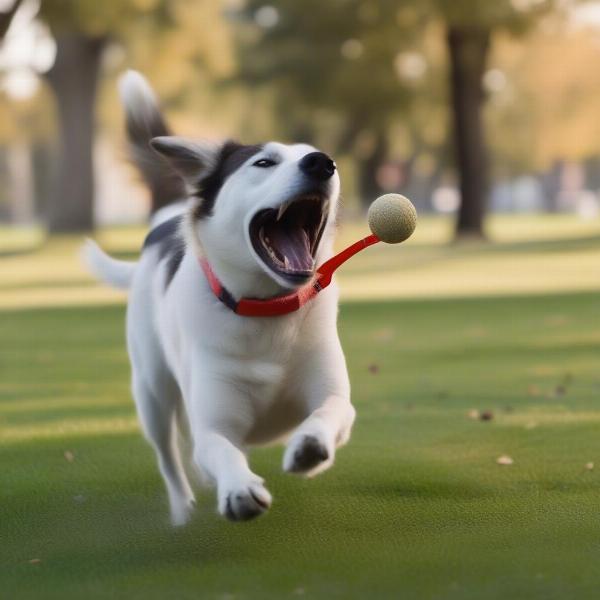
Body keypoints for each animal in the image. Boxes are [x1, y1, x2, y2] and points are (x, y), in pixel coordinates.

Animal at [86, 71, 354, 524]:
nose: (322, 162)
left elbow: (329, 411)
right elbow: (218, 448)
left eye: (321, 157)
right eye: (263, 163)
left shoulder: (333, 396)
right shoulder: (212, 425)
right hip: (152, 392)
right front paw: (238, 488)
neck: (267, 309)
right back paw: (182, 512)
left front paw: (309, 445)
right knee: (170, 458)